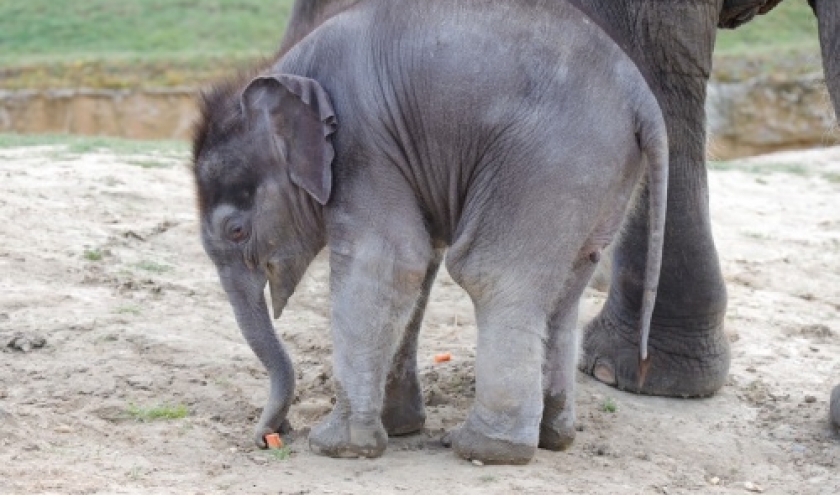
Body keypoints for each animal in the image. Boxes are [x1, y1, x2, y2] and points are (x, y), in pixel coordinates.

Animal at [194, 0, 668, 464]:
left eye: (236, 230)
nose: (269, 435)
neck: (290, 74)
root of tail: (642, 98)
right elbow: (420, 265)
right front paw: (399, 427)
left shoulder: (363, 146)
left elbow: (389, 262)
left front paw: (337, 446)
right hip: (602, 180)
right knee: (565, 291)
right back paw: (553, 437)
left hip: (549, 162)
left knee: (490, 273)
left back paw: (484, 448)